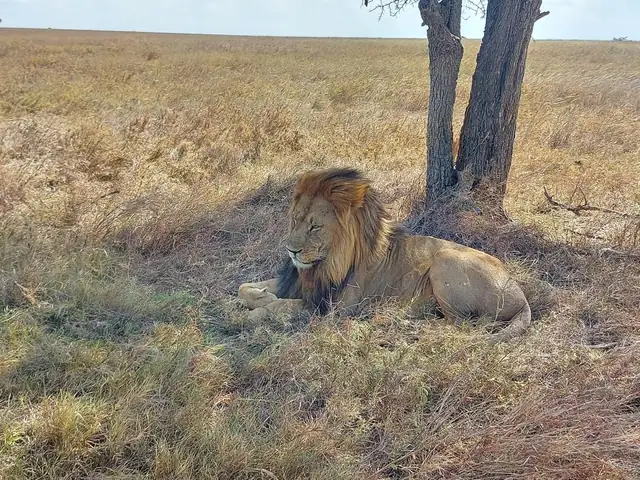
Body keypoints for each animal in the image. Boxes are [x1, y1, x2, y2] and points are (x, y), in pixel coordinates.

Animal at [239, 168, 532, 343]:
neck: (324, 264)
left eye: (315, 227)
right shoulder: (301, 283)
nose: (291, 250)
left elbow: (283, 307)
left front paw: (256, 313)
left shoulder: (334, 309)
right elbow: (245, 287)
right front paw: (261, 297)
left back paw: (404, 324)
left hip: (446, 260)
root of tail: (521, 295)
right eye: (295, 219)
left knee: (459, 324)